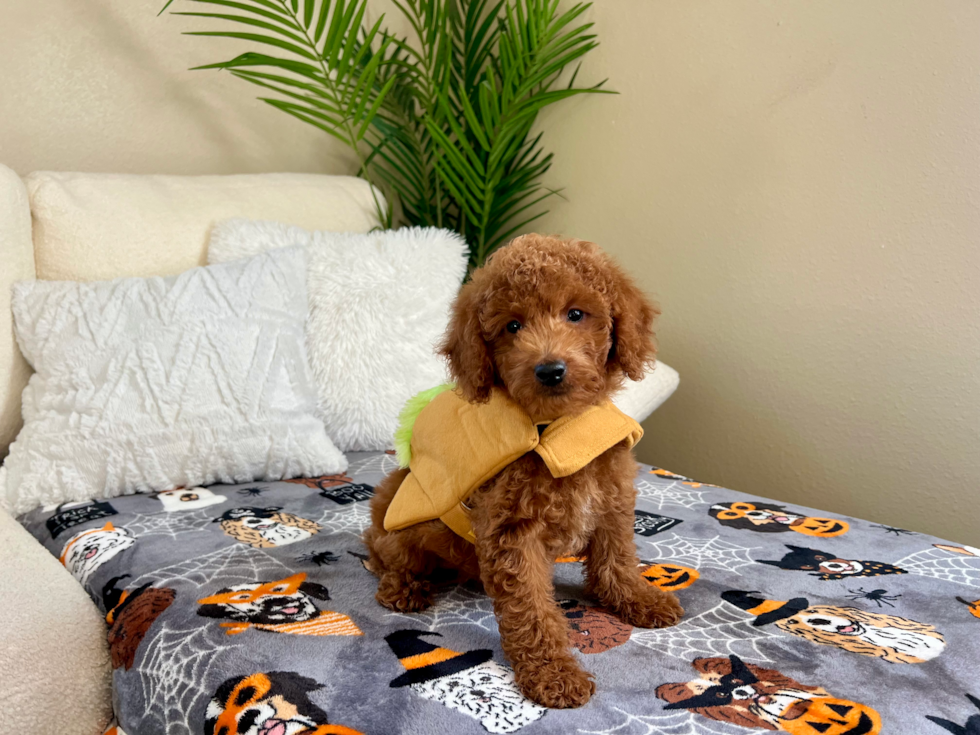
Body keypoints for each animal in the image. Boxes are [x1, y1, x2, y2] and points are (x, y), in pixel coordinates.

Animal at [364, 233, 684, 712]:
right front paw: (553, 674)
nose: (549, 370)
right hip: (404, 525)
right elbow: (532, 610)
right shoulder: (513, 533)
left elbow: (618, 559)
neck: (557, 431)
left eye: (576, 314)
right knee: (389, 558)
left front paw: (637, 598)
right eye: (512, 327)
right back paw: (404, 589)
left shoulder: (610, 501)